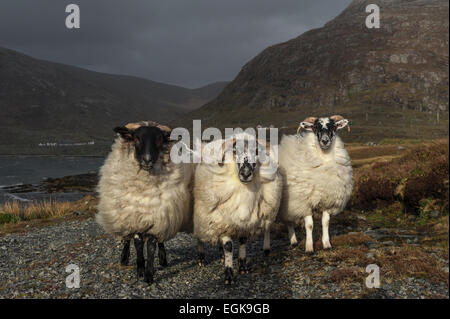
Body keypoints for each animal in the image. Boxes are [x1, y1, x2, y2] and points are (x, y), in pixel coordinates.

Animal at [95, 120, 193, 284]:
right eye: (136, 138)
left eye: (159, 138)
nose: (147, 159)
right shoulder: (134, 217)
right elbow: (138, 244)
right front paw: (140, 269)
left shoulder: (157, 217)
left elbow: (151, 245)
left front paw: (149, 274)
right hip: (123, 214)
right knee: (126, 238)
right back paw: (124, 258)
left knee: (160, 241)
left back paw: (163, 258)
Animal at [193, 132, 282, 284]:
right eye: (235, 151)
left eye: (257, 151)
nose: (245, 173)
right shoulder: (223, 220)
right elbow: (229, 246)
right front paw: (229, 275)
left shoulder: (245, 223)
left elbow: (242, 241)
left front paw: (242, 266)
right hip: (204, 214)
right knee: (200, 236)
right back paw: (201, 258)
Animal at [266, 115, 354, 255]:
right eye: (315, 127)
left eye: (333, 126)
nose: (325, 141)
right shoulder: (304, 202)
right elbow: (309, 225)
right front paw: (309, 248)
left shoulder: (328, 201)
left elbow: (325, 223)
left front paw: (327, 244)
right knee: (276, 224)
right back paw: (272, 246)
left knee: (289, 221)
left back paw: (293, 241)